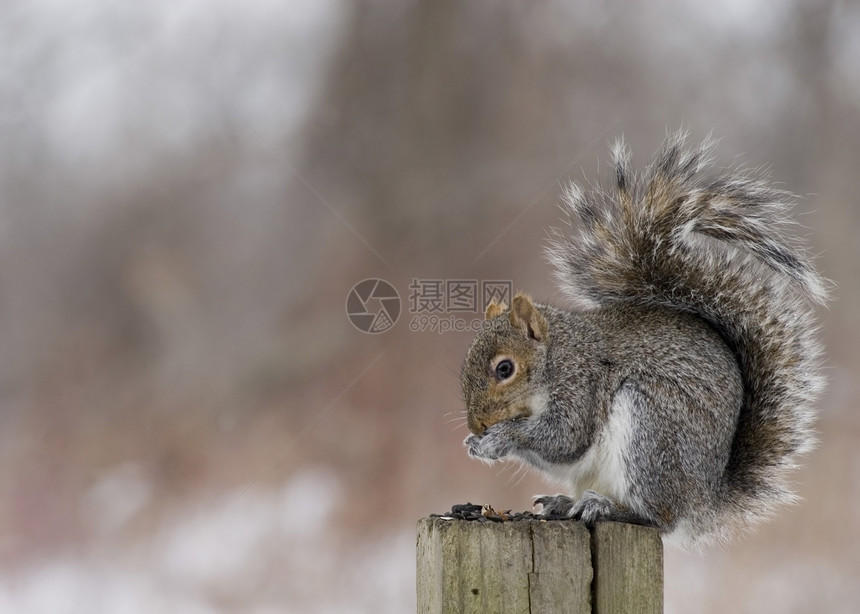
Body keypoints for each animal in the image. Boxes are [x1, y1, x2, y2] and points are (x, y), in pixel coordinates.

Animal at [460, 134, 828, 548]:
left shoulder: (580, 387)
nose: (477, 425)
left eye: (505, 369)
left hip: (650, 431)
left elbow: (563, 439)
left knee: (659, 518)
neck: (557, 356)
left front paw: (498, 439)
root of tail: (704, 497)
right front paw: (475, 444)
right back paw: (564, 502)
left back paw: (608, 507)